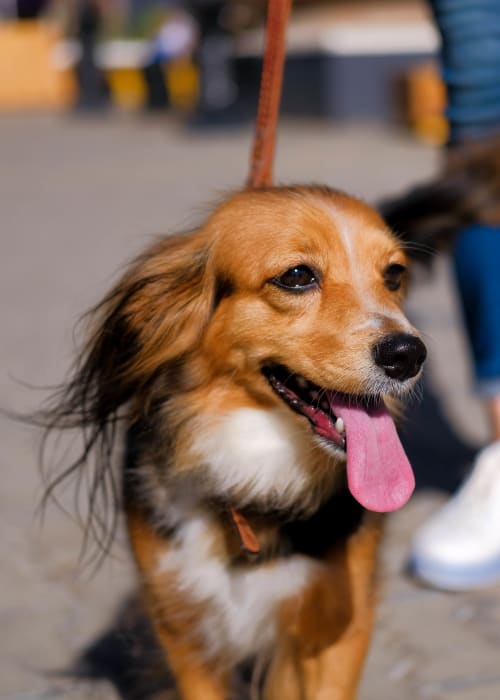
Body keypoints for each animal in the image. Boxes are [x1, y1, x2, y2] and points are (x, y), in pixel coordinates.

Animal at [44, 186, 426, 700]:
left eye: (394, 275)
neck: (256, 468)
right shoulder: (184, 624)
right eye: (297, 276)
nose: (408, 355)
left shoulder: (338, 626)